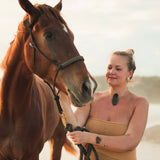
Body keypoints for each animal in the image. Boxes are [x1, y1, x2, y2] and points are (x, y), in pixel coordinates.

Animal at [0, 0, 96, 159]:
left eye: (71, 35)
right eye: (49, 35)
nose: (89, 87)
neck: (11, 111)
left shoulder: (32, 154)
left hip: (57, 141)